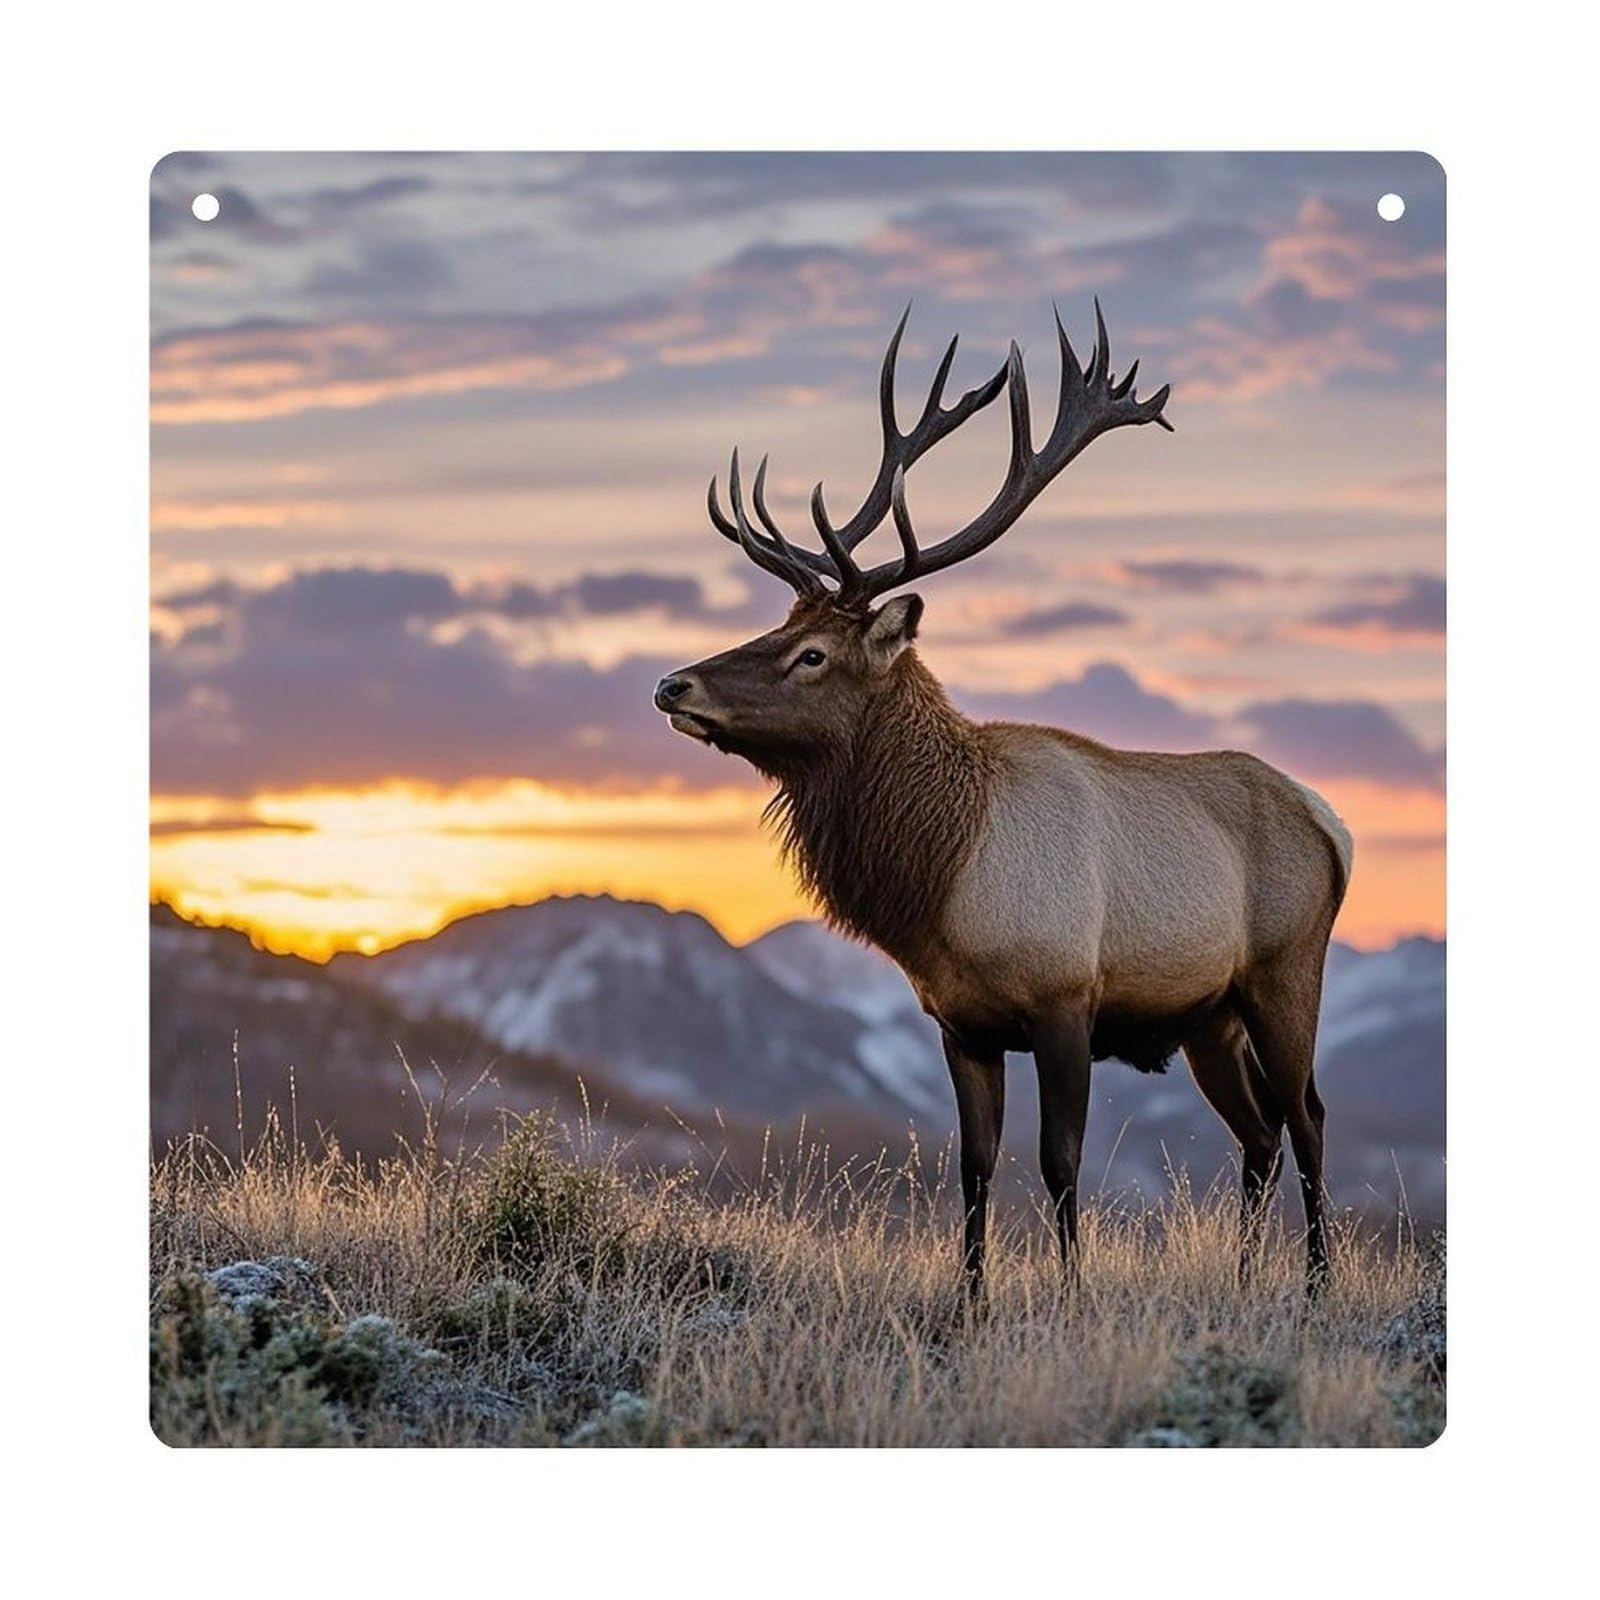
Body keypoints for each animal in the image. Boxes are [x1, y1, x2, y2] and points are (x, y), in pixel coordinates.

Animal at [652, 305, 1352, 1298]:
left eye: (812, 655)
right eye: (778, 627)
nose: (672, 685)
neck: (943, 883)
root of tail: (1331, 824)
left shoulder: (1066, 998)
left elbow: (1060, 1161)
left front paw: (1070, 1296)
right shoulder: (961, 1024)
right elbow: (975, 1166)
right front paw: (971, 1301)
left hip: (1286, 969)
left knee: (1308, 1116)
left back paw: (1317, 1284)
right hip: (1209, 1016)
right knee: (1256, 1131)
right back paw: (1249, 1279)